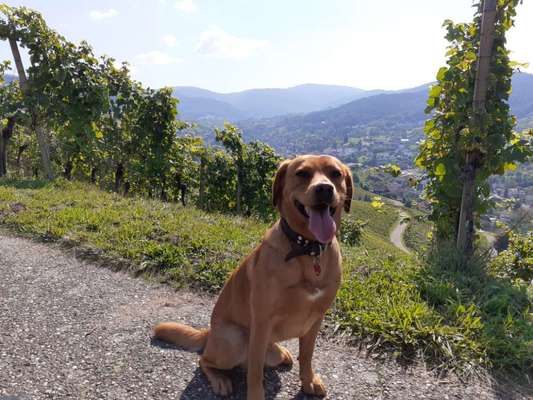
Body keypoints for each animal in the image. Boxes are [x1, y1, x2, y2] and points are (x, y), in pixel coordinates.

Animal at [154, 155, 354, 398]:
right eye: (302, 173)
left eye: (336, 173)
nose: (324, 188)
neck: (308, 249)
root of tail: (209, 333)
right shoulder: (262, 321)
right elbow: (255, 370)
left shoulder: (315, 319)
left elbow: (307, 356)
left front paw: (308, 382)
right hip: (235, 339)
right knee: (205, 361)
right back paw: (220, 379)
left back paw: (283, 352)